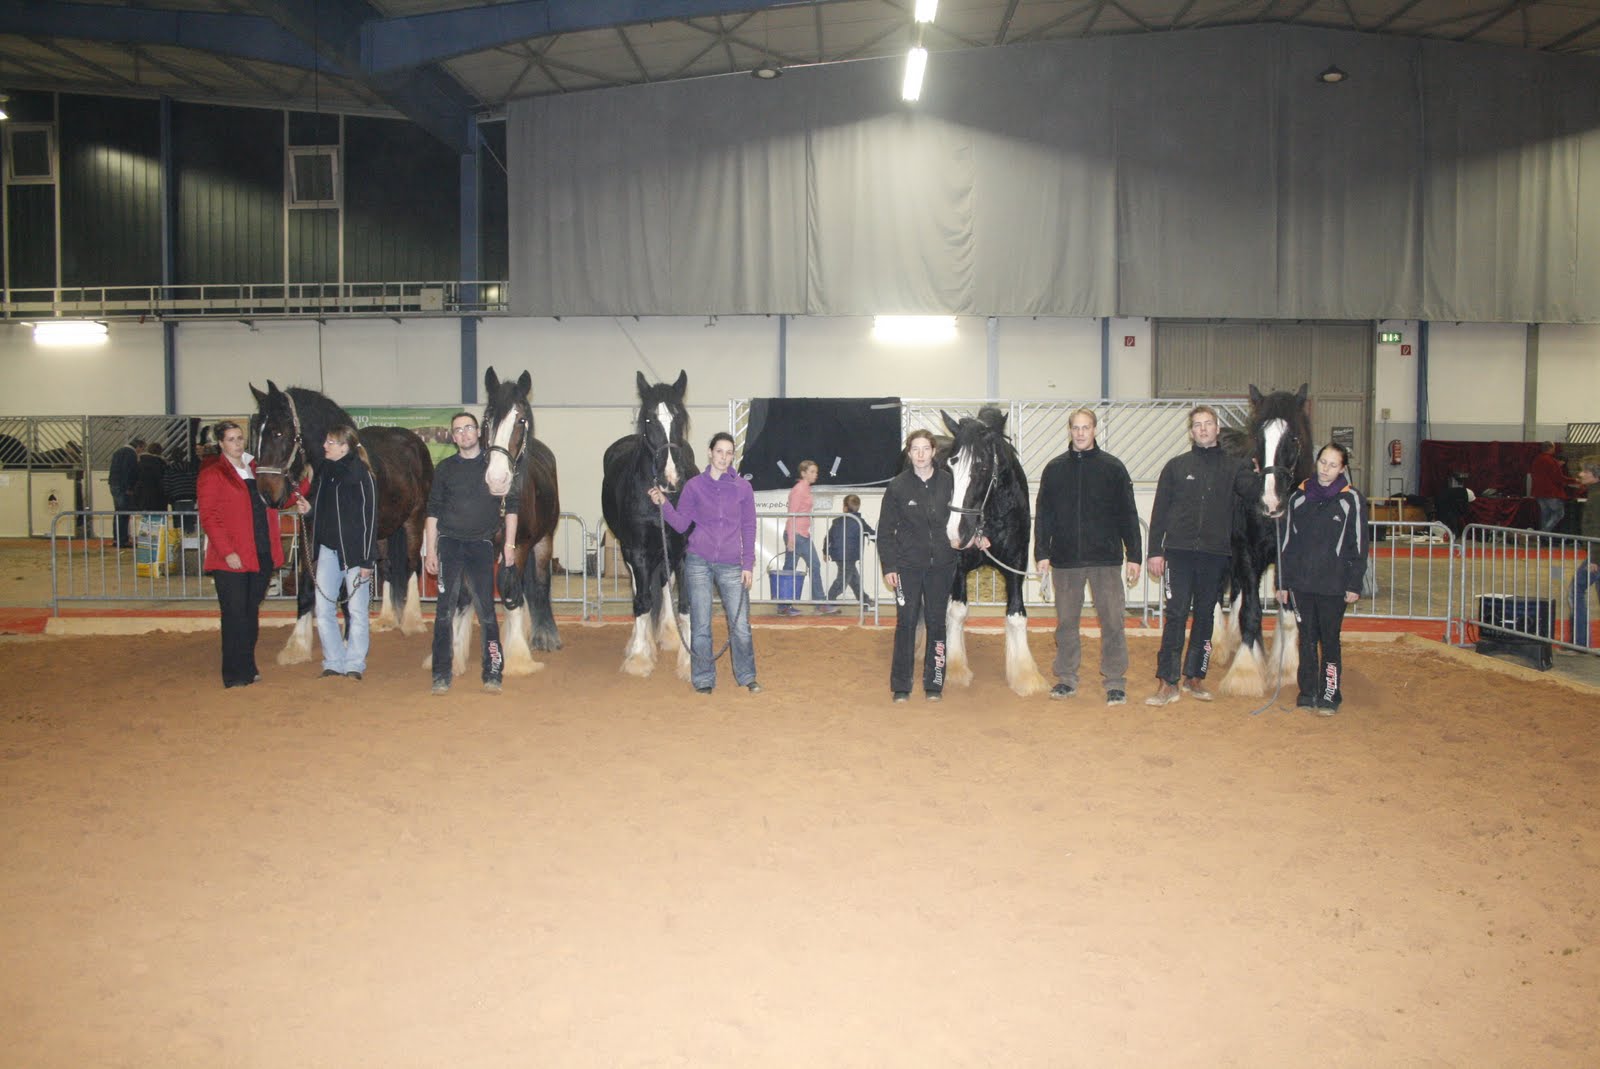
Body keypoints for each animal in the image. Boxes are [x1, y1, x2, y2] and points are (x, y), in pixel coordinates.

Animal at [248, 381, 434, 662]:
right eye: (256, 433)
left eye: (278, 432)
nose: (267, 494)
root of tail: (414, 442)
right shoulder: (312, 533)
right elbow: (307, 587)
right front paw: (296, 647)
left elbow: (347, 589)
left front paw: (348, 641)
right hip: (382, 531)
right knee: (388, 567)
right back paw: (386, 619)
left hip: (414, 518)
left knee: (412, 565)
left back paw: (412, 622)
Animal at [600, 370, 697, 678]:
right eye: (648, 419)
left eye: (679, 417)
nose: (670, 479)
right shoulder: (638, 551)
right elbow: (642, 601)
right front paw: (640, 658)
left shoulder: (683, 550)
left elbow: (685, 603)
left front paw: (689, 661)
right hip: (629, 553)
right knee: (638, 592)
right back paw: (637, 643)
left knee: (664, 584)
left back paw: (668, 634)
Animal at [941, 407, 1050, 697]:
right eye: (950, 465)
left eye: (981, 466)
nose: (955, 533)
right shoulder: (957, 567)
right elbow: (956, 612)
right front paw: (955, 669)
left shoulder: (1016, 566)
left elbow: (1016, 616)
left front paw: (1025, 676)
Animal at [1213, 383, 1315, 697]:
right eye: (1259, 436)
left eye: (1293, 437)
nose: (1270, 503)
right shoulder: (1247, 552)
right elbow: (1252, 612)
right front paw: (1245, 672)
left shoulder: (1288, 559)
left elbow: (1287, 617)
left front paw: (1286, 669)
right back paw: (1221, 646)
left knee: (1236, 593)